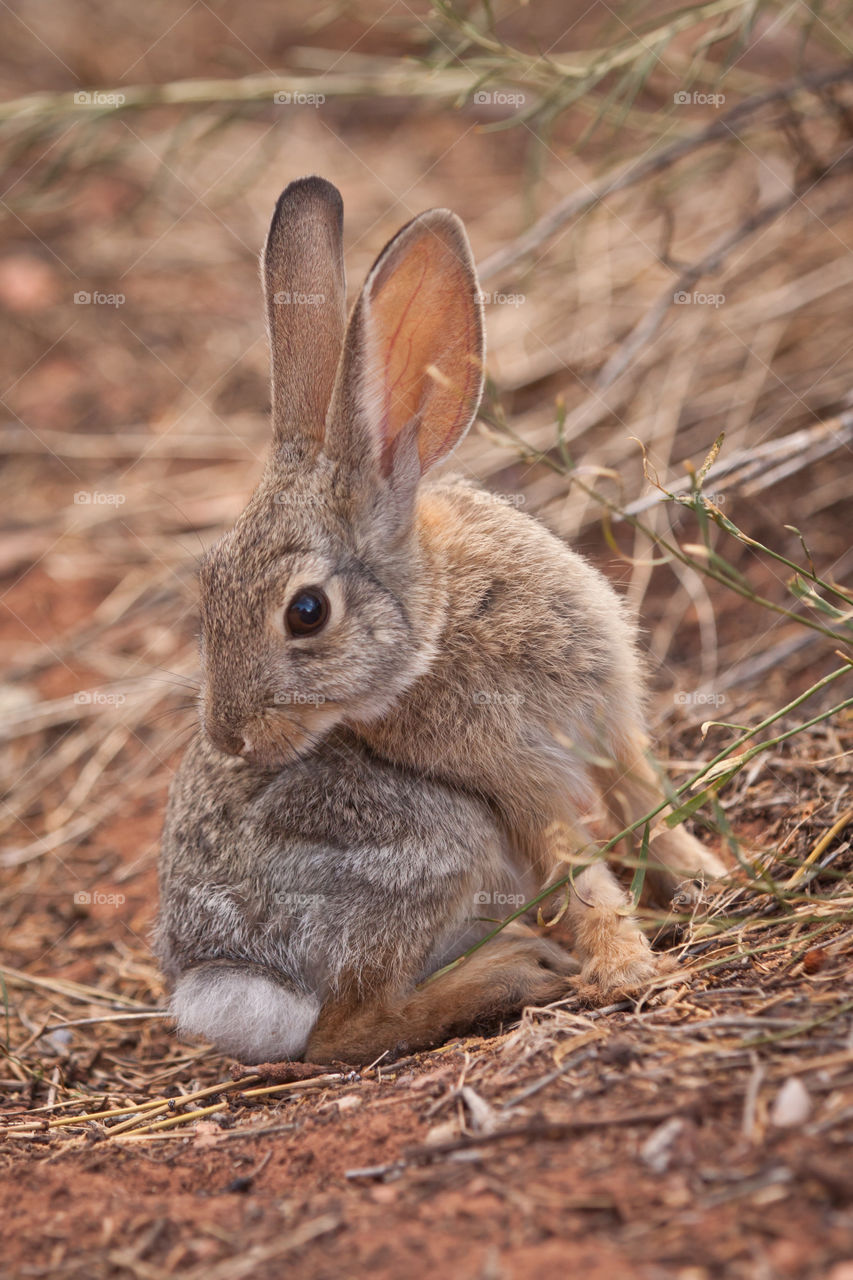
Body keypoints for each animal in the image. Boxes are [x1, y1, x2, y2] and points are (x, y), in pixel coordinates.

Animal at [156, 176, 725, 1067]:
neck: (443, 618)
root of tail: (225, 984)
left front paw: (709, 880)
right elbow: (578, 868)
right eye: (208, 591)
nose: (230, 737)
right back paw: (513, 972)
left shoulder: (608, 724)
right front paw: (630, 969)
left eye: (306, 613)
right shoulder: (512, 784)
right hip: (438, 840)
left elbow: (644, 805)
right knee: (344, 1027)